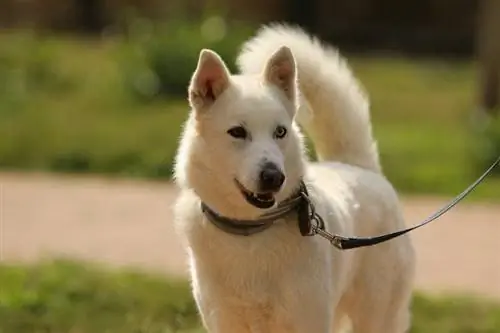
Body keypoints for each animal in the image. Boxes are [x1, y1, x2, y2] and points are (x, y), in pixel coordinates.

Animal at [174, 24, 416, 332]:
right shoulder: (225, 322)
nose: (273, 177)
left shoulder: (307, 321)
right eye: (237, 132)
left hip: (374, 317)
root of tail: (360, 167)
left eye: (280, 131)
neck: (252, 232)